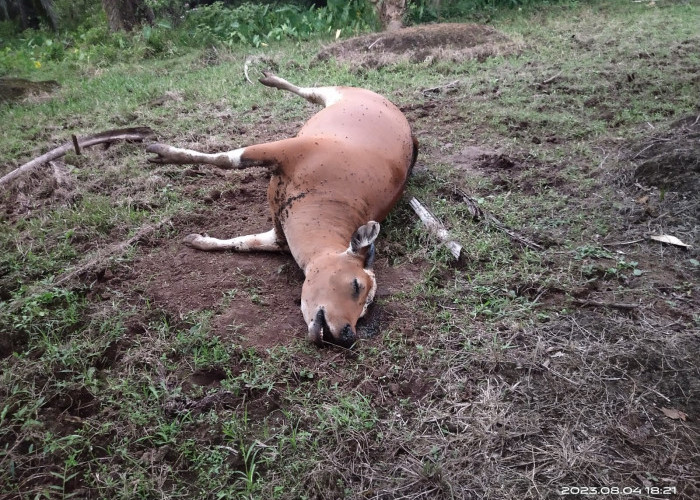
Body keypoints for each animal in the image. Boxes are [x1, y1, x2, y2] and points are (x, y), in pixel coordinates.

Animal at [147, 71, 416, 348]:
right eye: (356, 285)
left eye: (365, 311)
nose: (348, 335)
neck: (329, 196)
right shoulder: (287, 150)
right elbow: (228, 159)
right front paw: (164, 153)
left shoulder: (280, 235)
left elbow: (244, 242)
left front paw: (198, 240)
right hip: (338, 92)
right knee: (309, 91)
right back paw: (270, 77)